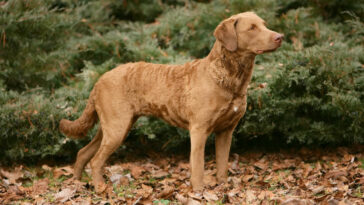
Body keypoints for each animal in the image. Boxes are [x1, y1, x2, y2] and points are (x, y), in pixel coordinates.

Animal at [59, 12, 282, 193]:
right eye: (251, 28)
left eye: (264, 25)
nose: (280, 37)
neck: (227, 78)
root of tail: (99, 80)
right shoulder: (199, 129)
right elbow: (198, 165)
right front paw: (199, 191)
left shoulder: (226, 131)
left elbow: (222, 165)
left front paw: (223, 187)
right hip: (117, 127)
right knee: (95, 160)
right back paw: (100, 187)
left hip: (112, 126)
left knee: (83, 153)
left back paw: (76, 183)